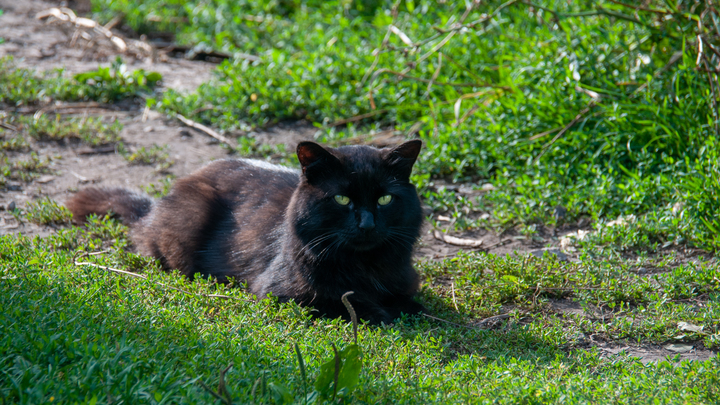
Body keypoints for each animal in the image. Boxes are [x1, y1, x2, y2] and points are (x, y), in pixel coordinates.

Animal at [66, 140, 428, 324]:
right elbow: (343, 301)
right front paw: (379, 312)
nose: (366, 224)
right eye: (342, 199)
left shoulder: (405, 280)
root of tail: (154, 205)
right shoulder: (281, 293)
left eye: (384, 199)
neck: (365, 267)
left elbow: (409, 301)